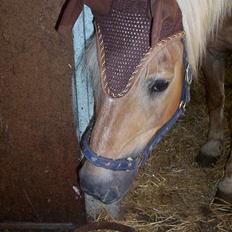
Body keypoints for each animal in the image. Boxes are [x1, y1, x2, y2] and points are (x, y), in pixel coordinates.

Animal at [57, 0, 230, 208]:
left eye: (160, 85)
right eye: (92, 70)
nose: (93, 185)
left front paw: (227, 184)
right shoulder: (213, 48)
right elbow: (215, 97)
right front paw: (212, 146)